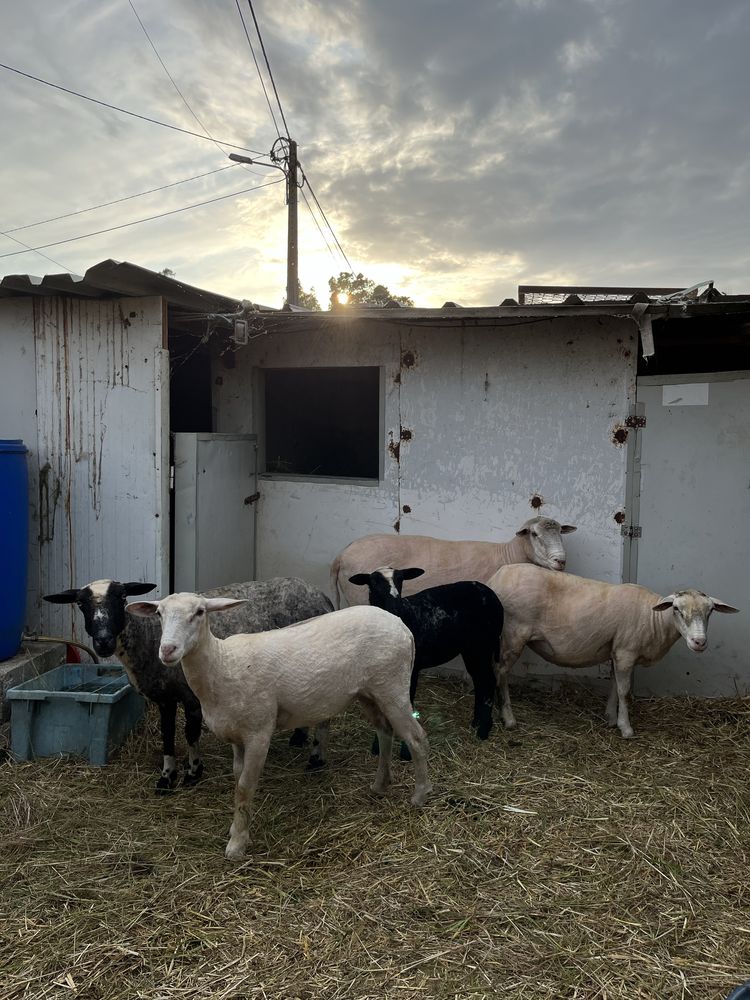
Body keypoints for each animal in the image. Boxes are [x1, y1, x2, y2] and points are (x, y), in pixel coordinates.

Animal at [128, 592, 434, 860]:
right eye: (159, 613)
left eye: (200, 612)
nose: (167, 650)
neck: (222, 665)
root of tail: (401, 626)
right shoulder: (237, 738)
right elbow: (237, 781)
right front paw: (238, 826)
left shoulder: (259, 733)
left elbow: (244, 787)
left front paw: (237, 845)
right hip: (368, 692)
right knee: (385, 731)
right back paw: (380, 784)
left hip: (392, 685)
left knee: (416, 737)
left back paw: (420, 794)